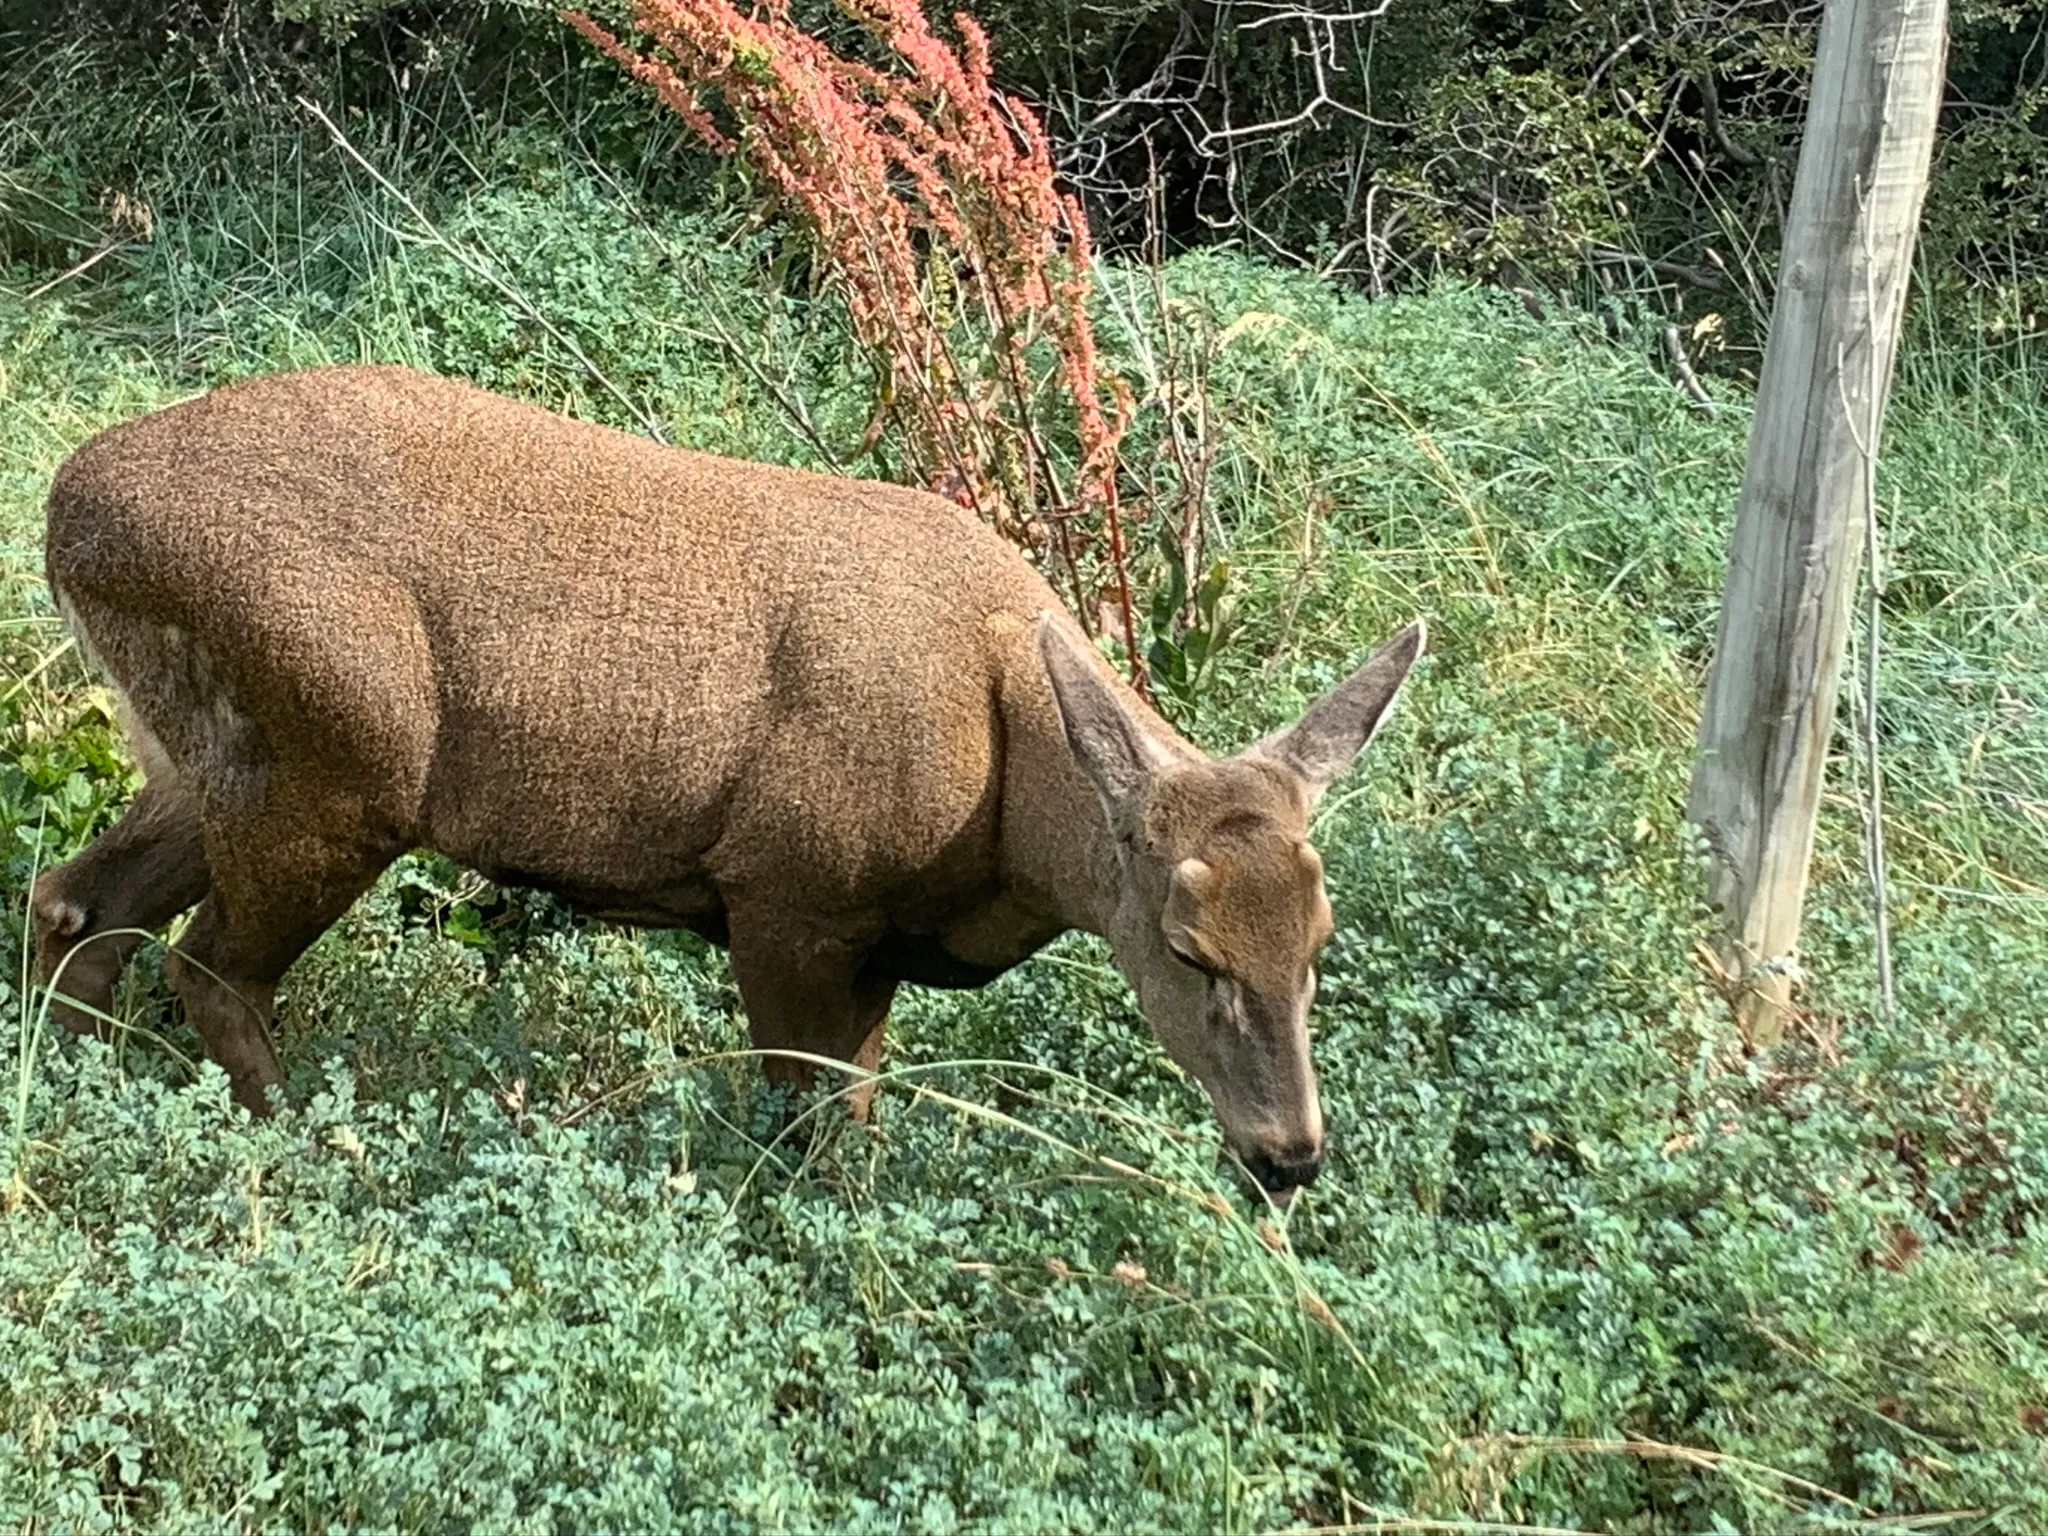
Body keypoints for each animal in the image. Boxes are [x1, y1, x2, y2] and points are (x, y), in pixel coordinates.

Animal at [31, 364, 1423, 1203]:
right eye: (1187, 950)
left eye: (1320, 941)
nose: (1289, 1155)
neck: (996, 822)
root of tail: (67, 508)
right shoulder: (787, 887)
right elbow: (803, 1118)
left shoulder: (870, 937)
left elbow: (857, 1115)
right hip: (338, 757)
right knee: (208, 965)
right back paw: (309, 1150)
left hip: (215, 752)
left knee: (77, 904)